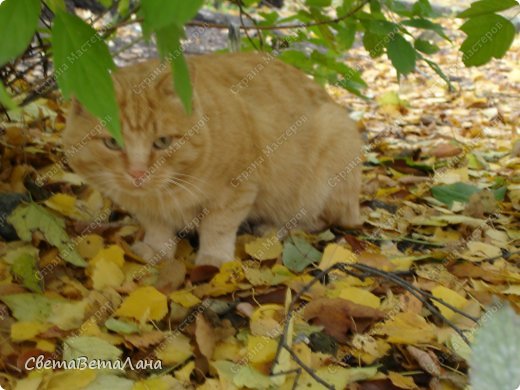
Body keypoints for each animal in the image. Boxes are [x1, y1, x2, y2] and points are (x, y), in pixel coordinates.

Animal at [64, 52, 362, 268]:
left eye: (162, 142)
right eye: (112, 143)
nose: (138, 173)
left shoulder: (237, 189)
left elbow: (218, 226)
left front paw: (214, 258)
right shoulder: (146, 208)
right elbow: (157, 226)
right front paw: (156, 248)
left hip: (330, 146)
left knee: (318, 220)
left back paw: (271, 228)